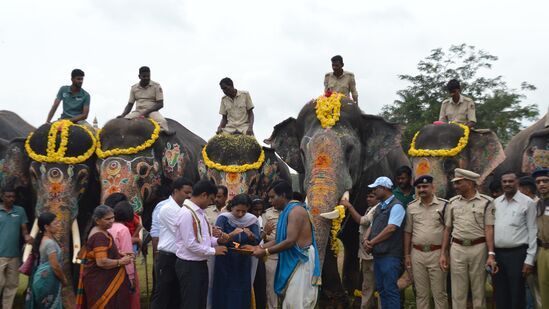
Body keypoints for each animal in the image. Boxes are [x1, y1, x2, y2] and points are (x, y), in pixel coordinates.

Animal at [264, 93, 408, 304]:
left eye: (349, 149)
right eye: (302, 151)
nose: (314, 284)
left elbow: (358, 234)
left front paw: (348, 296)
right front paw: (334, 299)